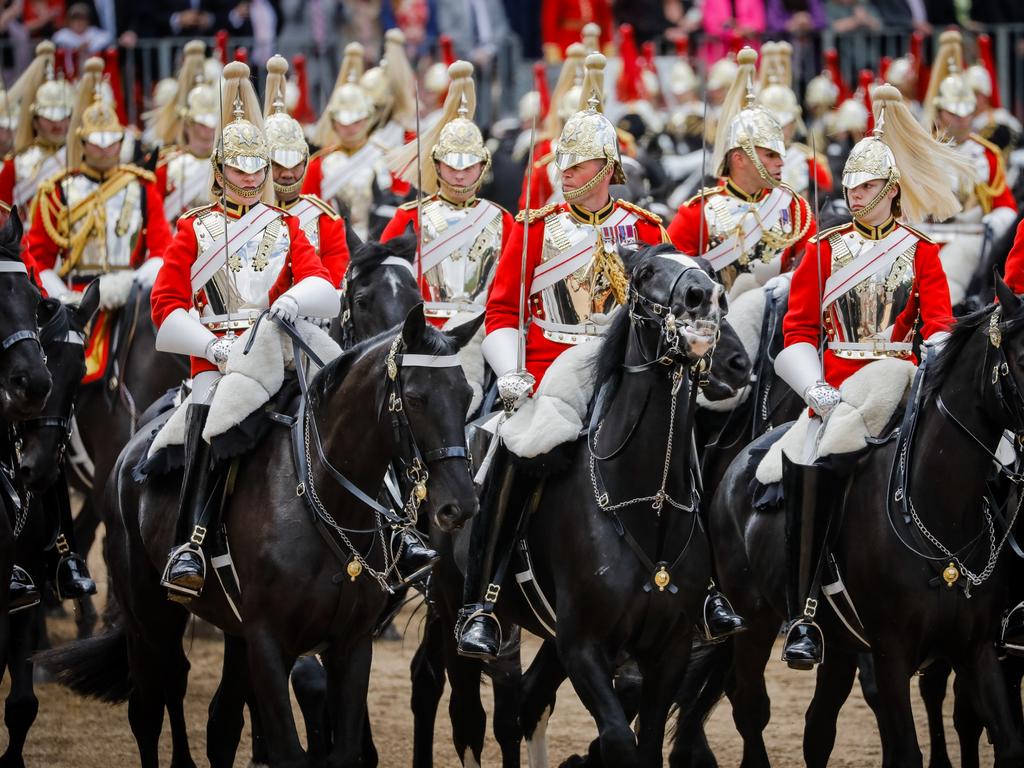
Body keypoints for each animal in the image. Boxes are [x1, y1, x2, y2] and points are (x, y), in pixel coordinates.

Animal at [41, 305, 481, 768]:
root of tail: (133, 449)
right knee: (152, 703)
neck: (321, 497)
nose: (461, 505)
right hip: (149, 616)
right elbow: (287, 749)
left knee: (219, 723)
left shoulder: (352, 644)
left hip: (231, 634)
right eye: (414, 398)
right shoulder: (269, 643)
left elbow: (342, 750)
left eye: (466, 394)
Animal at [684, 276, 1024, 768]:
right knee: (749, 705)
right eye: (1021, 356)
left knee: (817, 727)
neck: (938, 514)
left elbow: (1007, 740)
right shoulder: (890, 653)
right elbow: (906, 748)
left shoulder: (976, 649)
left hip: (839, 644)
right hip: (755, 618)